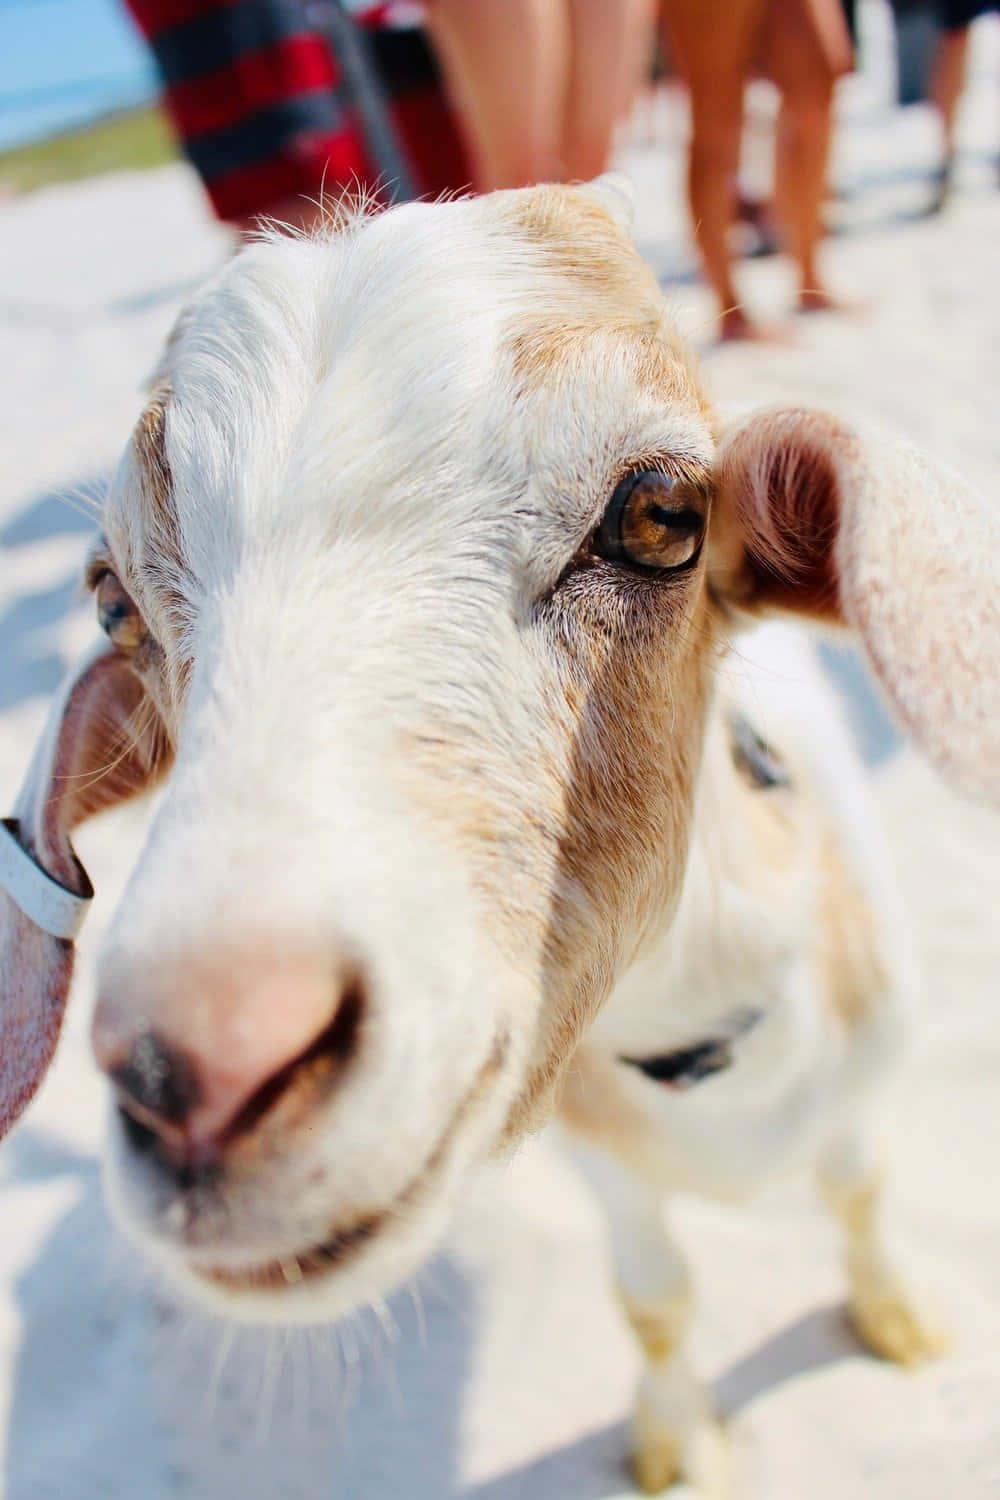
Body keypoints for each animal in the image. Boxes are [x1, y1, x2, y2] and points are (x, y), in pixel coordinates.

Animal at [1, 175, 1000, 1488]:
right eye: (114, 602)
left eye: (663, 515)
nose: (201, 1071)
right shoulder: (600, 1162)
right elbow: (655, 1298)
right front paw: (678, 1448)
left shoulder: (860, 1089)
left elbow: (860, 1195)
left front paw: (897, 1320)